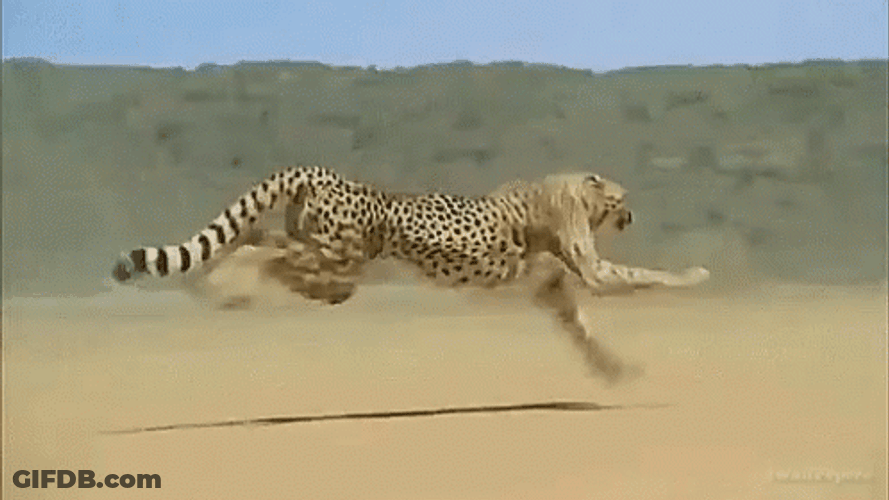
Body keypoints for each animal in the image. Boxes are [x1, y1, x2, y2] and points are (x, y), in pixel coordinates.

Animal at [112, 165, 710, 382]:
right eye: (621, 199)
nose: (631, 215)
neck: (570, 189)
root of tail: (321, 173)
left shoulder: (549, 286)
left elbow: (580, 328)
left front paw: (614, 369)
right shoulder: (590, 267)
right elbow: (640, 274)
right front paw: (697, 275)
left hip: (322, 251)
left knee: (257, 241)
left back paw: (218, 281)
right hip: (340, 259)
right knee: (275, 258)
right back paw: (228, 287)